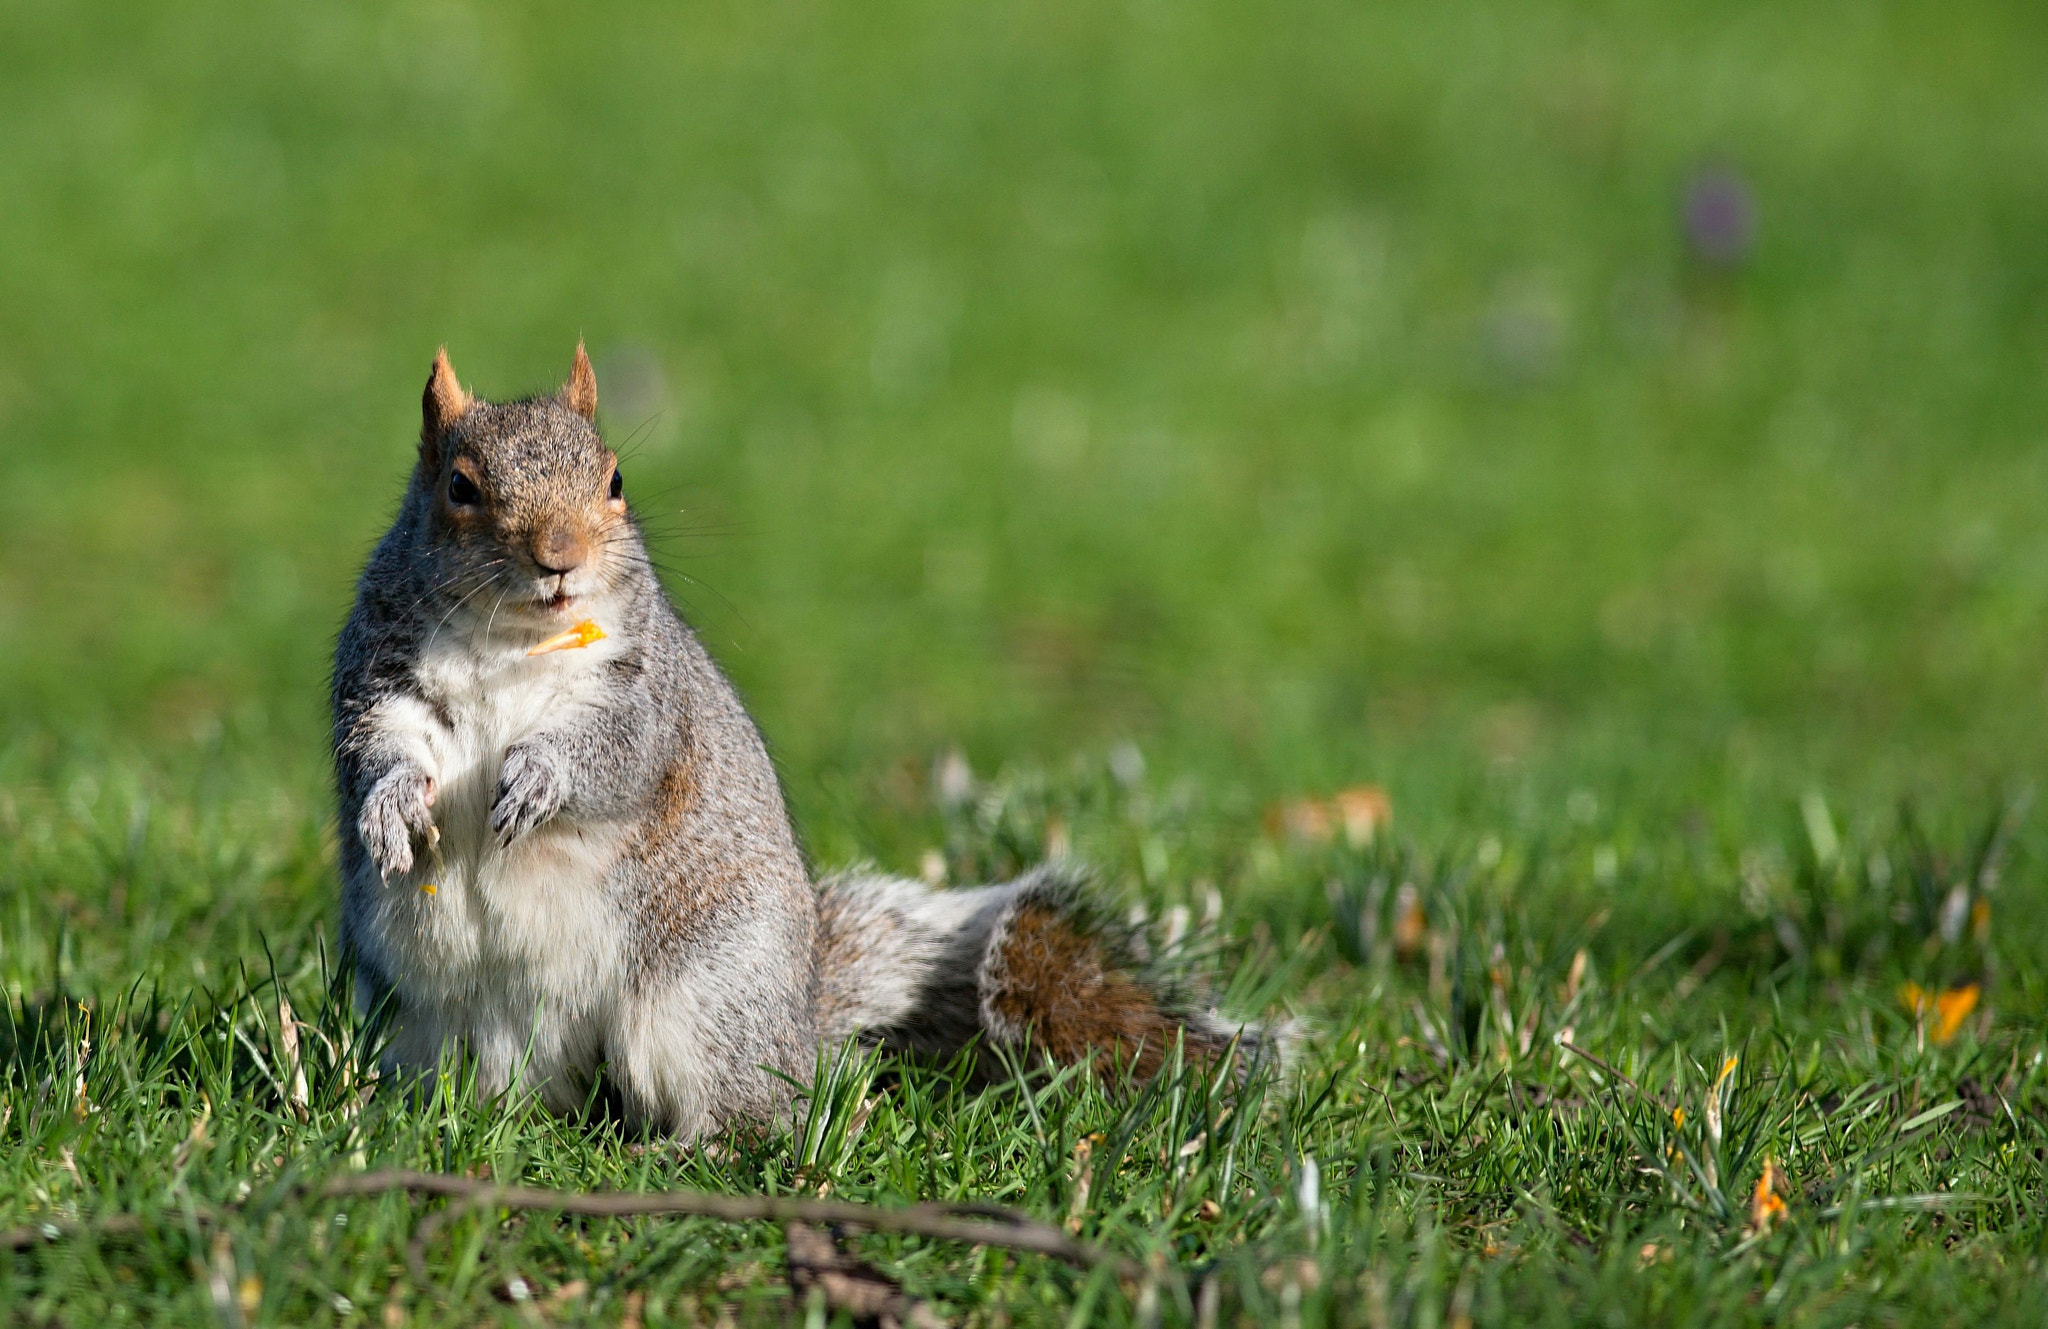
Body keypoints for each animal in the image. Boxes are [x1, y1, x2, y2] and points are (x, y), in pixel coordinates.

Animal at [333, 348, 1277, 1138]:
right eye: (460, 487)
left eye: (615, 478)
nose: (558, 557)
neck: (515, 637)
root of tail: (800, 1018)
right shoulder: (378, 681)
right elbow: (373, 754)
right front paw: (388, 812)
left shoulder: (649, 700)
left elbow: (618, 757)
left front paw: (538, 777)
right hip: (427, 1018)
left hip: (706, 998)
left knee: (751, 1108)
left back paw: (695, 1147)